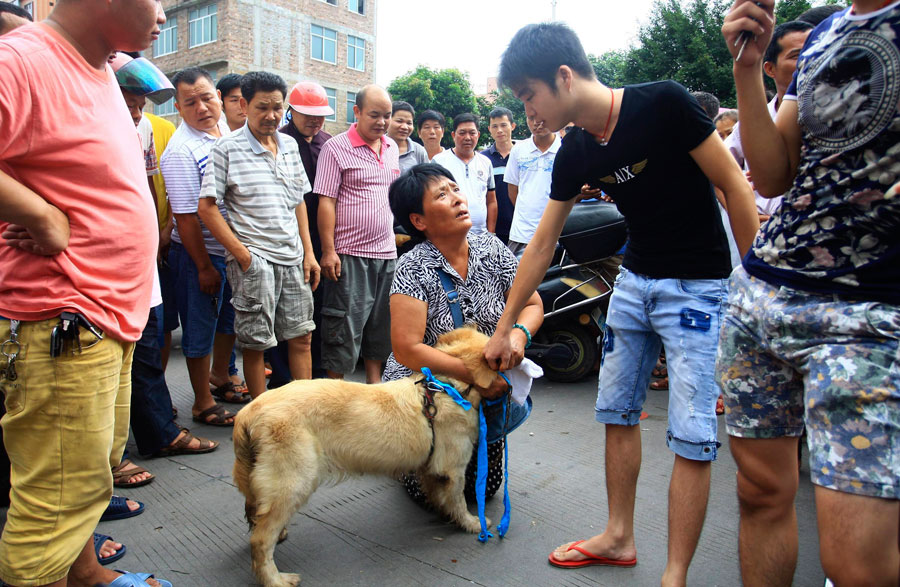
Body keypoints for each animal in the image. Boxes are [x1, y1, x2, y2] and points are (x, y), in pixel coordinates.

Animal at [232, 328, 496, 584]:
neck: (447, 388)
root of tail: (247, 414)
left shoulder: (431, 470)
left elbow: (439, 496)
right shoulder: (453, 469)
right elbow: (458, 500)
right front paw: (473, 523)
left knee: (254, 513)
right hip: (294, 482)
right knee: (260, 540)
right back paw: (275, 579)